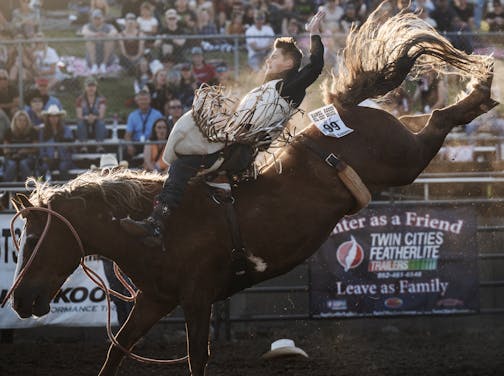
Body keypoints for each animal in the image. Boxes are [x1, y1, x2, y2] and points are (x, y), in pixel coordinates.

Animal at [5, 3, 498, 376]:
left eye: (36, 238)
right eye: (22, 240)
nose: (22, 301)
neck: (150, 229)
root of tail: (344, 108)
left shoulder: (197, 297)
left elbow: (197, 358)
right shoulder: (153, 299)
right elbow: (117, 351)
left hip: (403, 160)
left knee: (437, 121)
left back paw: (481, 89)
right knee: (426, 119)